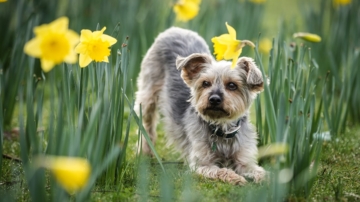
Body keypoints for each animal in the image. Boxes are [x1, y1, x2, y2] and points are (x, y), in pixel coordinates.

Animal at [136, 26, 266, 185]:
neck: (222, 128)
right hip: (148, 92)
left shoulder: (244, 158)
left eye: (232, 85)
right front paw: (235, 177)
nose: (214, 99)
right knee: (146, 122)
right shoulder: (201, 164)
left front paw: (265, 178)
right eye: (205, 83)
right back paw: (145, 151)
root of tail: (175, 29)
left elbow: (256, 170)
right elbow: (220, 170)